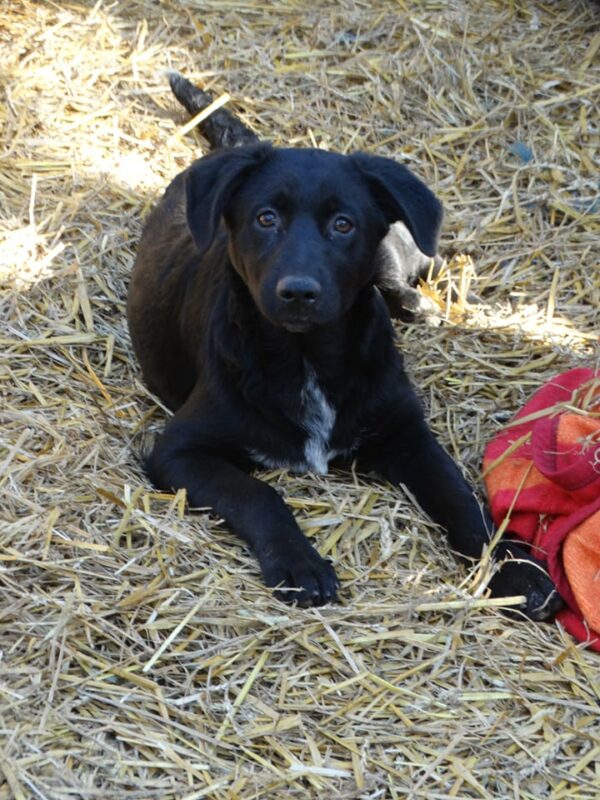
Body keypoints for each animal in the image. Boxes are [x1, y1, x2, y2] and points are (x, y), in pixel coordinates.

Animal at [124, 72, 560, 616]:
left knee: (424, 265)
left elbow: (459, 497)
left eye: (343, 224)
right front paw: (301, 564)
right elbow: (256, 494)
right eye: (265, 219)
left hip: (397, 249)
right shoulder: (178, 450)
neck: (307, 356)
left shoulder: (407, 432)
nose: (298, 292)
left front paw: (515, 569)